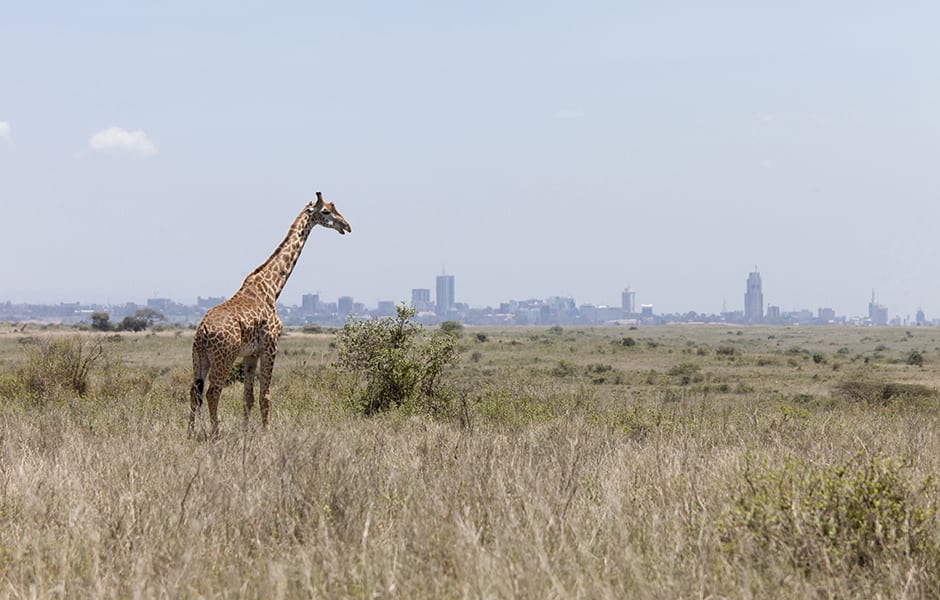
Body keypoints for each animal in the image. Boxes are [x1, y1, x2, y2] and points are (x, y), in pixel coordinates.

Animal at [189, 192, 350, 436]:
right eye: (326, 211)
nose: (346, 226)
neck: (273, 287)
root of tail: (203, 331)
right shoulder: (270, 345)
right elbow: (265, 396)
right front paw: (266, 433)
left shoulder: (250, 354)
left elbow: (248, 397)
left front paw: (246, 432)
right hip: (223, 357)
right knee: (212, 392)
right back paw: (215, 433)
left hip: (199, 358)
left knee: (194, 393)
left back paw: (190, 433)